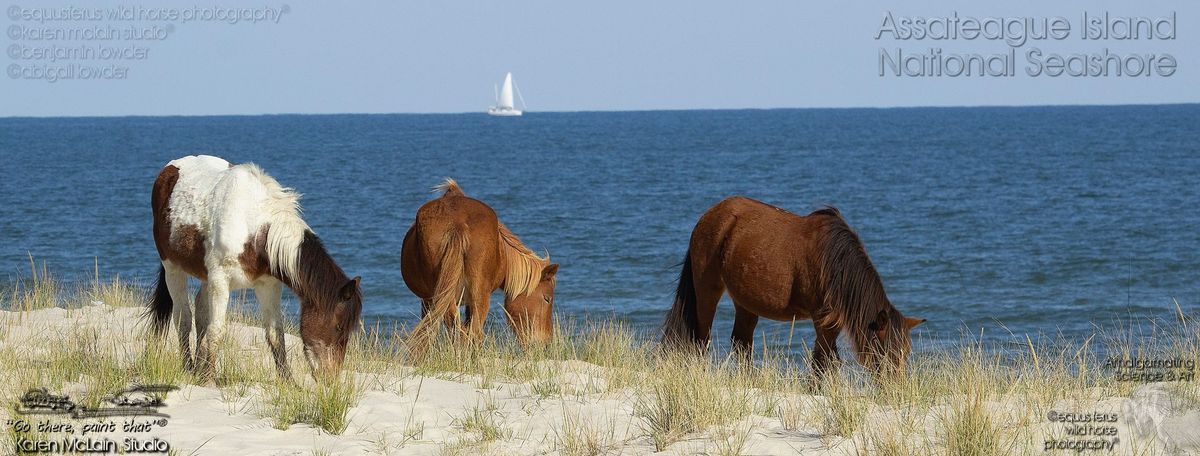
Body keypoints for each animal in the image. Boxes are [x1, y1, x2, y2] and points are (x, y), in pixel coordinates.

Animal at [145, 154, 360, 379]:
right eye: (338, 327)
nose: (331, 378)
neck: (255, 231)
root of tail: (170, 169)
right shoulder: (220, 282)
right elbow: (216, 330)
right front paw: (209, 379)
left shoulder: (268, 286)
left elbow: (275, 335)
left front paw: (288, 381)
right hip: (172, 268)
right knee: (183, 318)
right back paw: (188, 368)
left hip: (205, 277)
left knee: (201, 314)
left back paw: (196, 369)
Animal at [662, 195, 921, 376]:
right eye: (885, 352)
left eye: (906, 353)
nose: (896, 391)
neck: (833, 261)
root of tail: (709, 216)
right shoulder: (821, 319)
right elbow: (823, 359)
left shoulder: (834, 320)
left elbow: (827, 358)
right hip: (707, 290)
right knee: (701, 338)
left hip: (745, 301)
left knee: (741, 342)